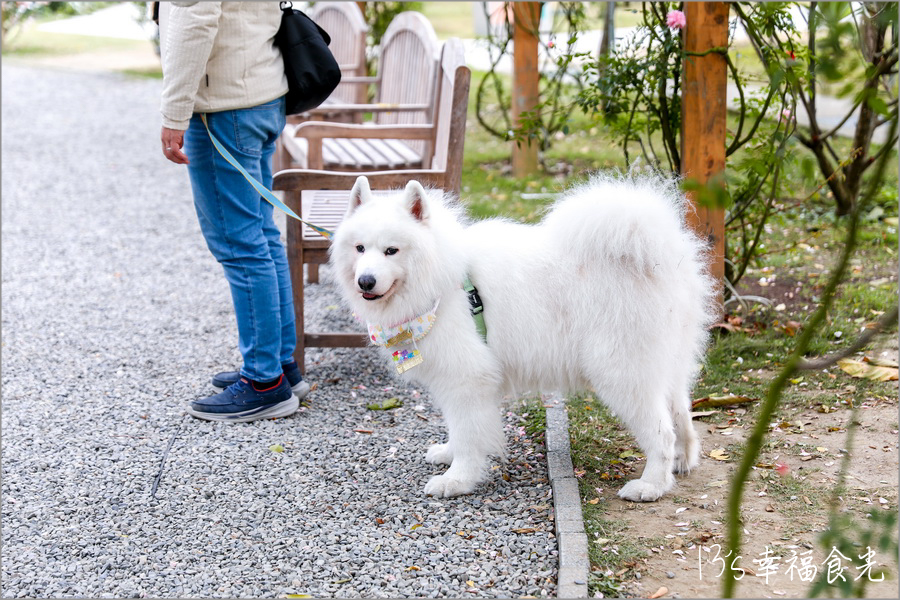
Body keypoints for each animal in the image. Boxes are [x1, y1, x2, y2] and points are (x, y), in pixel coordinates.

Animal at [330, 171, 716, 500]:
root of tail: (660, 254)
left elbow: (468, 433)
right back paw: (682, 462)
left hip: (621, 372)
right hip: (669, 364)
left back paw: (651, 486)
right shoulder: (455, 382)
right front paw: (448, 454)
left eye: (391, 250)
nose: (365, 281)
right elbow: (458, 427)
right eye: (360, 248)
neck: (441, 277)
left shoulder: (468, 378)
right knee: (680, 413)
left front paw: (457, 479)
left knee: (661, 432)